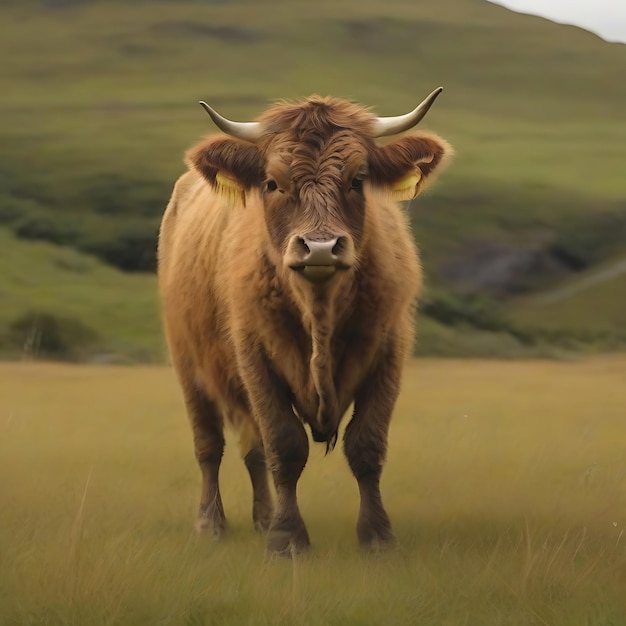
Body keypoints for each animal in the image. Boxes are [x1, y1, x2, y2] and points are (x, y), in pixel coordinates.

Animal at [156, 86, 448, 552]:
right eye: (273, 183)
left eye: (358, 179)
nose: (321, 247)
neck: (320, 312)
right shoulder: (255, 356)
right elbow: (285, 445)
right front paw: (287, 538)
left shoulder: (389, 352)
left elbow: (366, 446)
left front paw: (376, 536)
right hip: (188, 363)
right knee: (209, 445)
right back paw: (211, 524)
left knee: (251, 449)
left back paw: (261, 517)